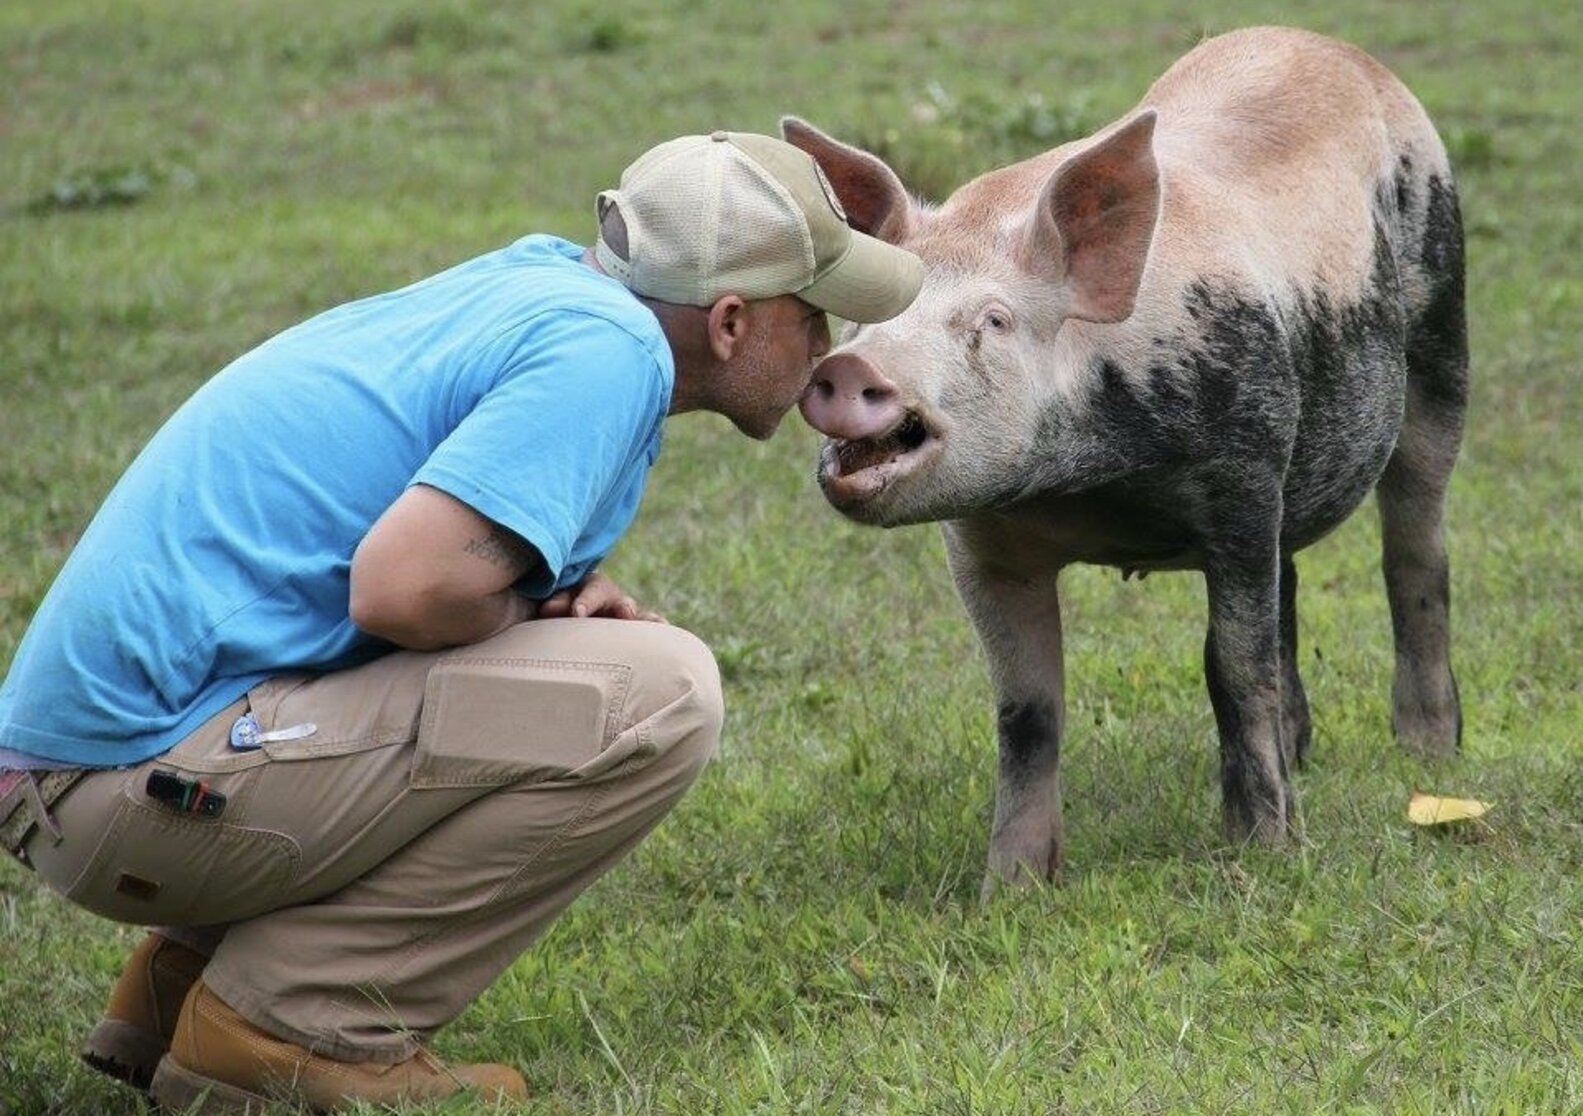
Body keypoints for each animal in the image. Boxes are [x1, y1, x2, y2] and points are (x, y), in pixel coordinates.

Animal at [787, 25, 1467, 889]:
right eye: (866, 318)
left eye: (993, 321)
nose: (848, 369)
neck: (1087, 485)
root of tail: (1327, 46)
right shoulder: (982, 544)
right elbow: (1026, 710)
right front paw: (1007, 888)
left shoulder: (1240, 477)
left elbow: (1232, 667)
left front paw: (1264, 854)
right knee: (1291, 578)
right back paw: (1304, 754)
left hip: (1440, 322)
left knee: (1414, 546)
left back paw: (1427, 751)